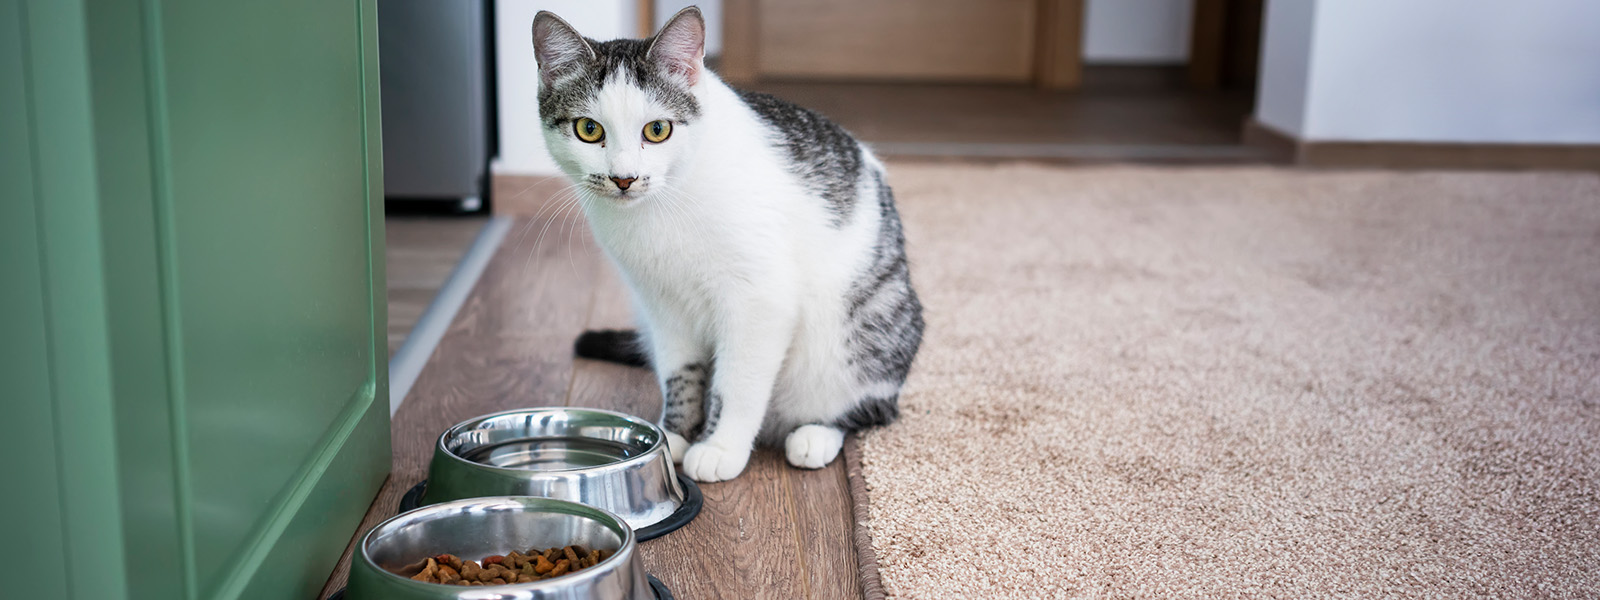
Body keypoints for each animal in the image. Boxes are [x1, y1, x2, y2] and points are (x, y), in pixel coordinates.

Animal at [531, 5, 921, 483]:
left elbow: (737, 382)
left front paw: (720, 445)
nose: (624, 178)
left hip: (862, 334)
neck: (663, 205)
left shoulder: (759, 299)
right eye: (589, 129)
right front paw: (672, 436)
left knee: (870, 407)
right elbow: (680, 371)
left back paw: (817, 434)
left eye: (657, 130)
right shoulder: (660, 303)